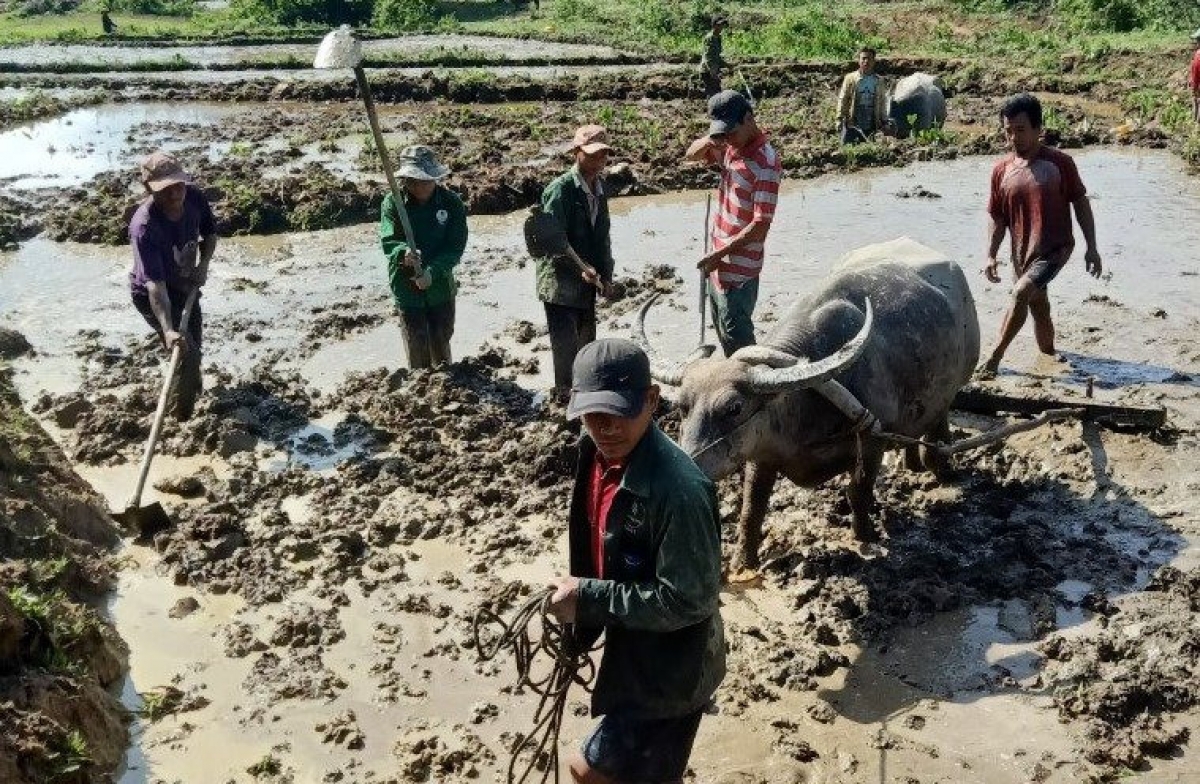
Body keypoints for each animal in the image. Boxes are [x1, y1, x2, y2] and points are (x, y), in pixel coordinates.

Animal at [633, 235, 979, 566]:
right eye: (682, 407)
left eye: (734, 408)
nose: (687, 466)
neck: (803, 407)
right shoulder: (762, 454)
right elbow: (751, 509)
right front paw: (742, 562)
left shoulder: (871, 440)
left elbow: (858, 492)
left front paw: (865, 535)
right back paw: (912, 464)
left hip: (953, 385)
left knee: (938, 426)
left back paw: (942, 469)